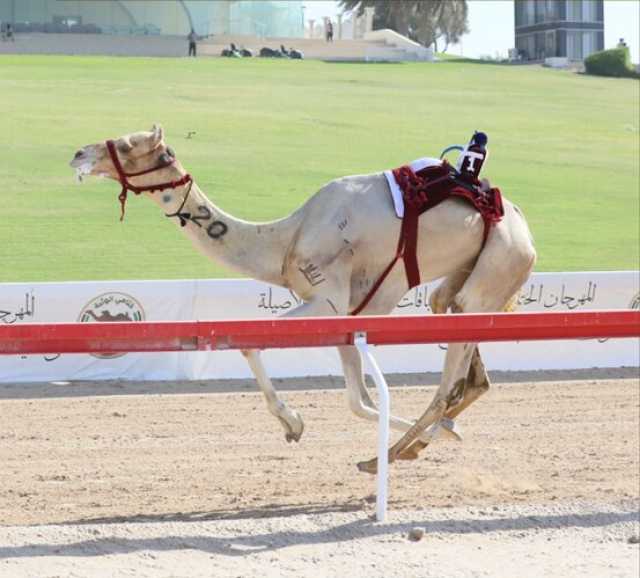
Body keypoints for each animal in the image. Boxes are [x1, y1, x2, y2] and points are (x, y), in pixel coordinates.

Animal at [70, 124, 536, 470]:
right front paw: (442, 435)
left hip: (499, 264)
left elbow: (252, 343)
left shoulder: (327, 298)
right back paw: (422, 438)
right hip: (460, 284)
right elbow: (359, 401)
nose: (77, 154)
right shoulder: (348, 312)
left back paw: (389, 454)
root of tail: (524, 227)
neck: (284, 239)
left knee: (449, 384)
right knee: (469, 367)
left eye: (128, 145)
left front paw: (293, 423)